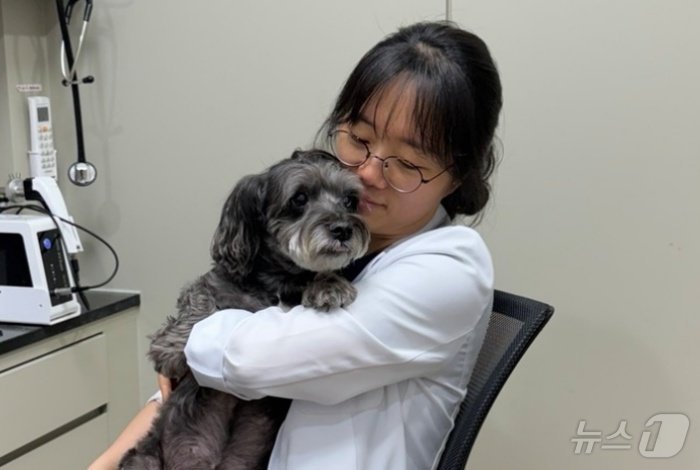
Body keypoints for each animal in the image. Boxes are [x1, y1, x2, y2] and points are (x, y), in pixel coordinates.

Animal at [119, 151, 372, 470]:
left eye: (349, 200)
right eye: (299, 198)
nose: (343, 229)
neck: (276, 280)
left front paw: (329, 284)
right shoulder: (209, 283)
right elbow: (198, 303)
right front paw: (171, 346)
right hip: (144, 458)